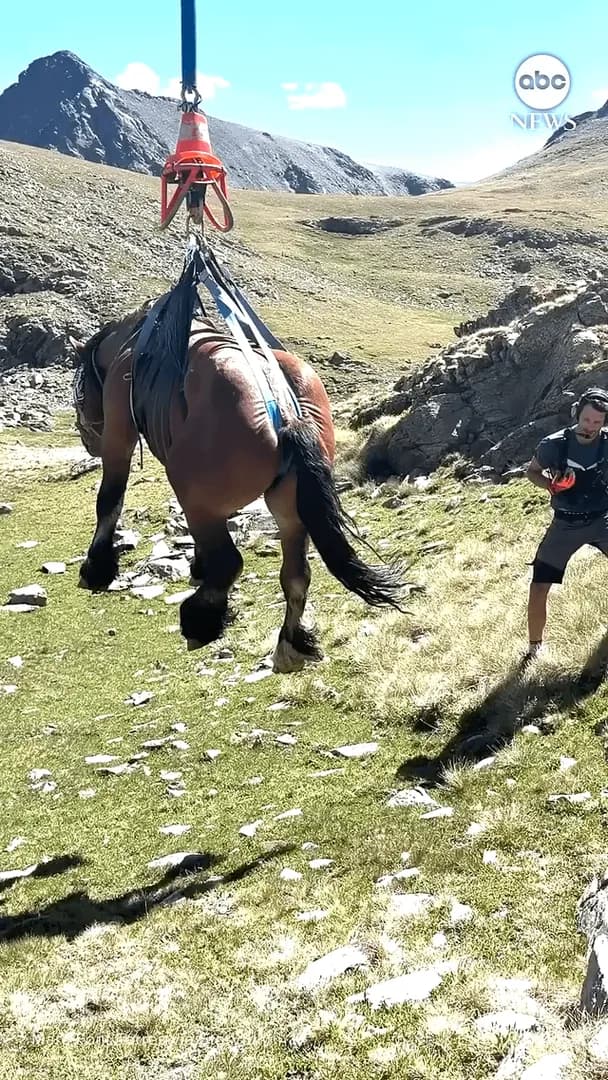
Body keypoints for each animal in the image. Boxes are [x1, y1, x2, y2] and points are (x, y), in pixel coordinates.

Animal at [72, 271, 404, 673]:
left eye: (77, 390)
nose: (86, 438)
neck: (132, 344)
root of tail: (286, 414)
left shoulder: (119, 431)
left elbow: (110, 499)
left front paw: (97, 566)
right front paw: (197, 564)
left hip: (197, 493)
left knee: (231, 562)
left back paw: (201, 618)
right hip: (287, 504)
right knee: (296, 575)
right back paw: (292, 642)